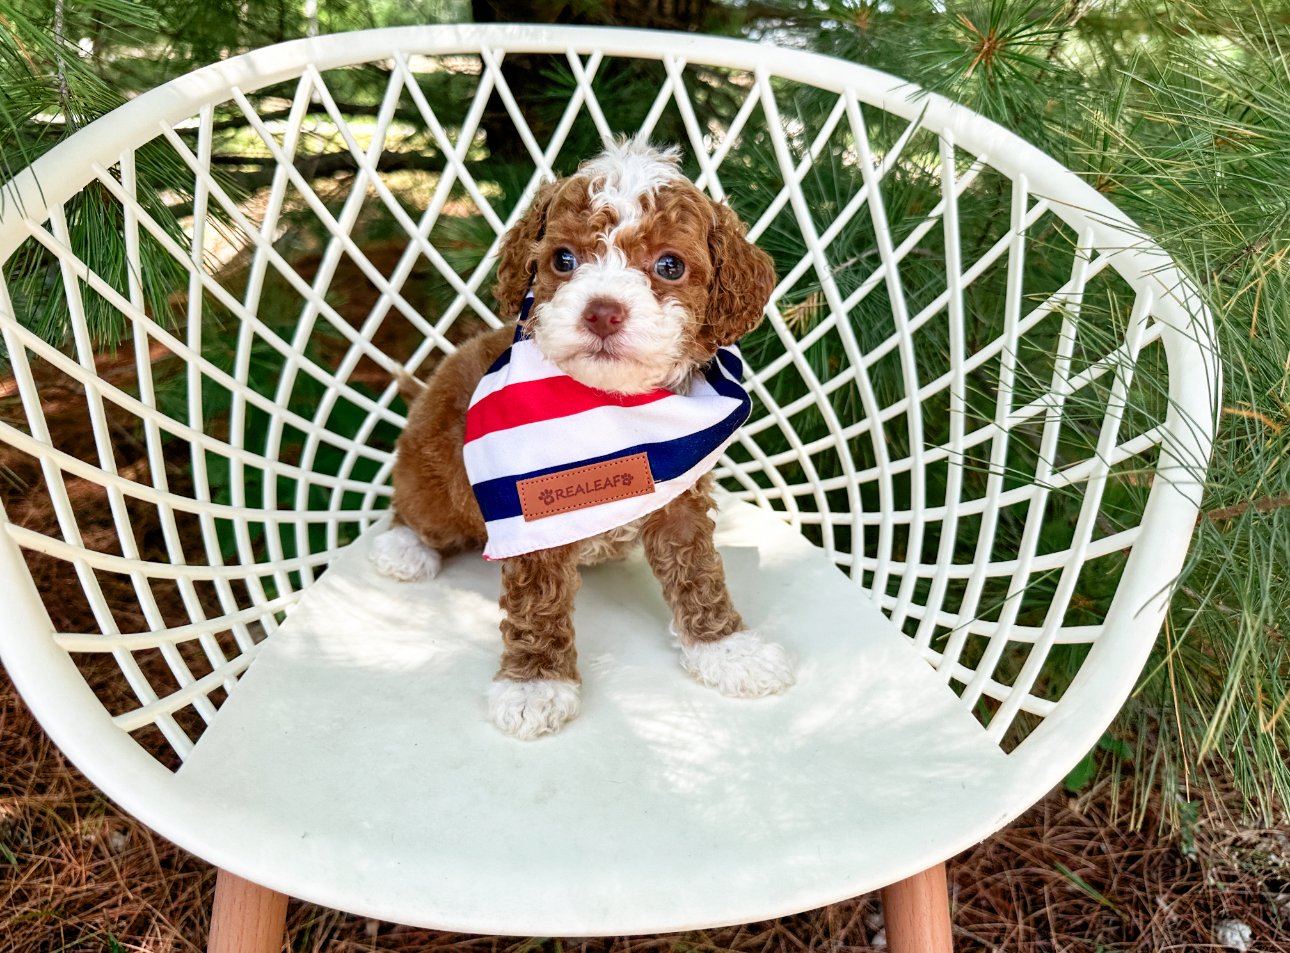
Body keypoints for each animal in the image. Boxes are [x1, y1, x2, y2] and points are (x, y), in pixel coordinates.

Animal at [374, 137, 789, 742]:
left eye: (670, 265)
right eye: (563, 261)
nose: (603, 311)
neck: (611, 408)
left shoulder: (679, 498)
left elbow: (698, 571)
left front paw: (727, 649)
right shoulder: (531, 506)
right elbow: (536, 602)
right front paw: (534, 685)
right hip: (436, 475)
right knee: (415, 508)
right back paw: (404, 547)